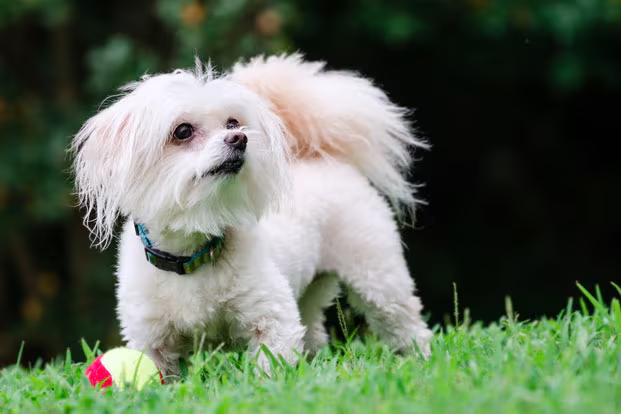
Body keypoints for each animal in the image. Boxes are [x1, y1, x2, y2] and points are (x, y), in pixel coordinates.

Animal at [71, 54, 432, 376]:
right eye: (182, 131)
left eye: (233, 122)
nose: (239, 138)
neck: (195, 252)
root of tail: (322, 156)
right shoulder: (150, 338)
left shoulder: (273, 316)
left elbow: (269, 367)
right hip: (310, 292)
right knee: (314, 330)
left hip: (377, 275)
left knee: (407, 323)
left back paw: (421, 359)